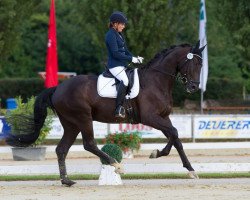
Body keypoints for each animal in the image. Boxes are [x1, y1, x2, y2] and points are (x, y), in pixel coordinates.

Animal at [5, 40, 205, 186]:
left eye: (201, 64)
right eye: (193, 62)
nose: (194, 87)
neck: (157, 80)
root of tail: (58, 88)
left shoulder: (163, 117)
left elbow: (175, 137)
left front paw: (189, 169)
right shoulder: (150, 117)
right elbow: (174, 133)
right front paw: (157, 153)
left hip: (71, 124)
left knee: (62, 149)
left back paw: (67, 180)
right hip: (83, 118)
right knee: (89, 144)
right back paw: (116, 165)